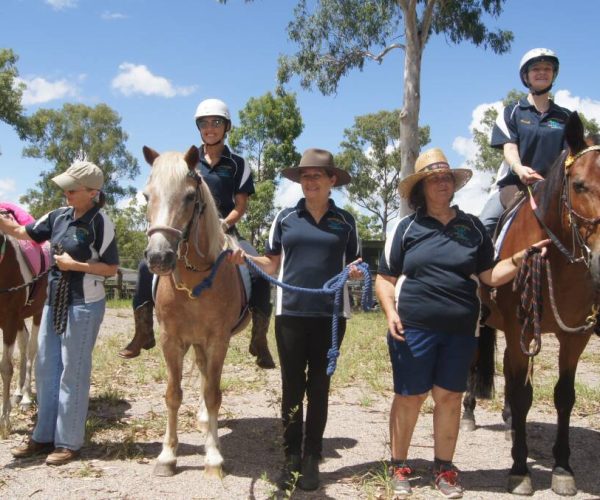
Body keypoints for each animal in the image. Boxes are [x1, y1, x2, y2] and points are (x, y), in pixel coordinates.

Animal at [143, 145, 251, 476]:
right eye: (146, 195)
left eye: (190, 196)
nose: (159, 257)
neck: (194, 282)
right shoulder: (171, 341)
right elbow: (173, 395)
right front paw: (167, 456)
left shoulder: (218, 340)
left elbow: (213, 394)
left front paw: (213, 456)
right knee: (202, 374)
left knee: (208, 381)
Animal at [480, 113, 600, 496]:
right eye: (579, 185)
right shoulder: (520, 328)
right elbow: (522, 396)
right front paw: (520, 469)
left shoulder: (576, 335)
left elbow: (564, 396)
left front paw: (562, 467)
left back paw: (509, 424)